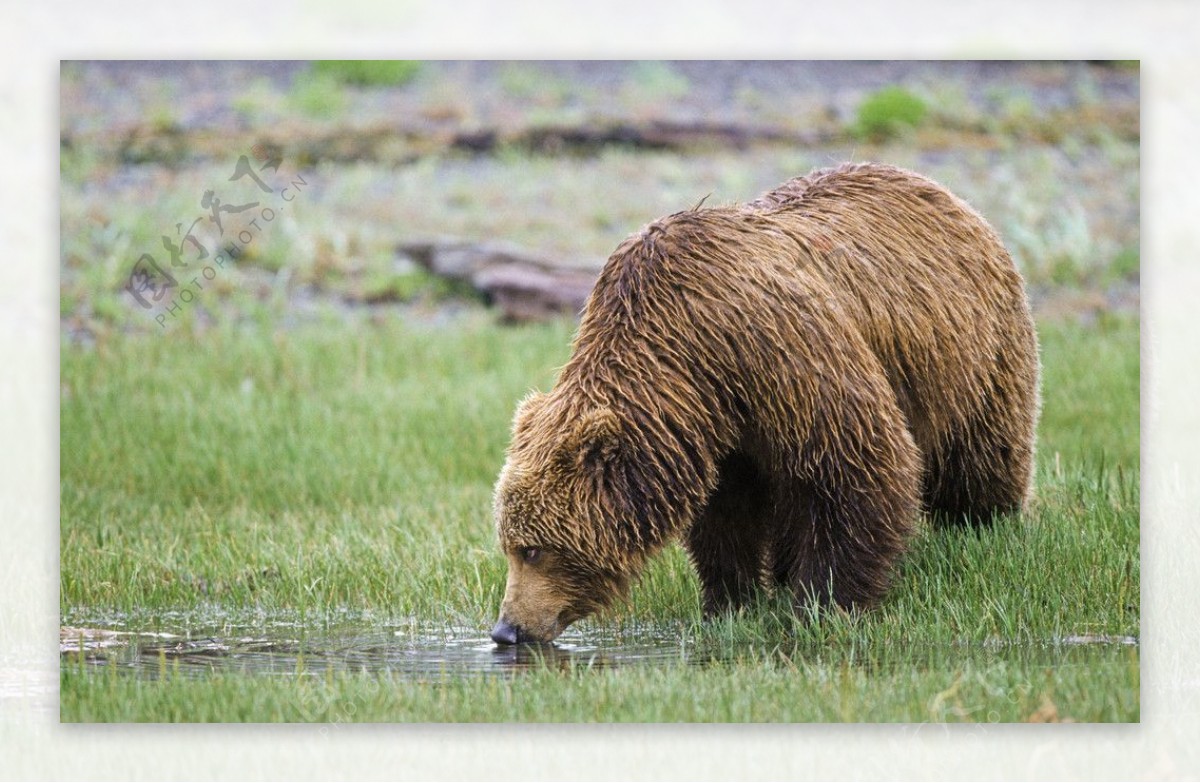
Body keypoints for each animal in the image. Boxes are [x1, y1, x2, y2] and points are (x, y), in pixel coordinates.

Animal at [487, 160, 1041, 643]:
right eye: (508, 543)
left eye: (533, 550)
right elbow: (725, 514)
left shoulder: (779, 354)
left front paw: (823, 602)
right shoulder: (717, 428)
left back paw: (981, 526)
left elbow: (855, 464)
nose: (507, 629)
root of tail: (945, 194)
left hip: (974, 355)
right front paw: (731, 601)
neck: (686, 358)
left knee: (980, 453)